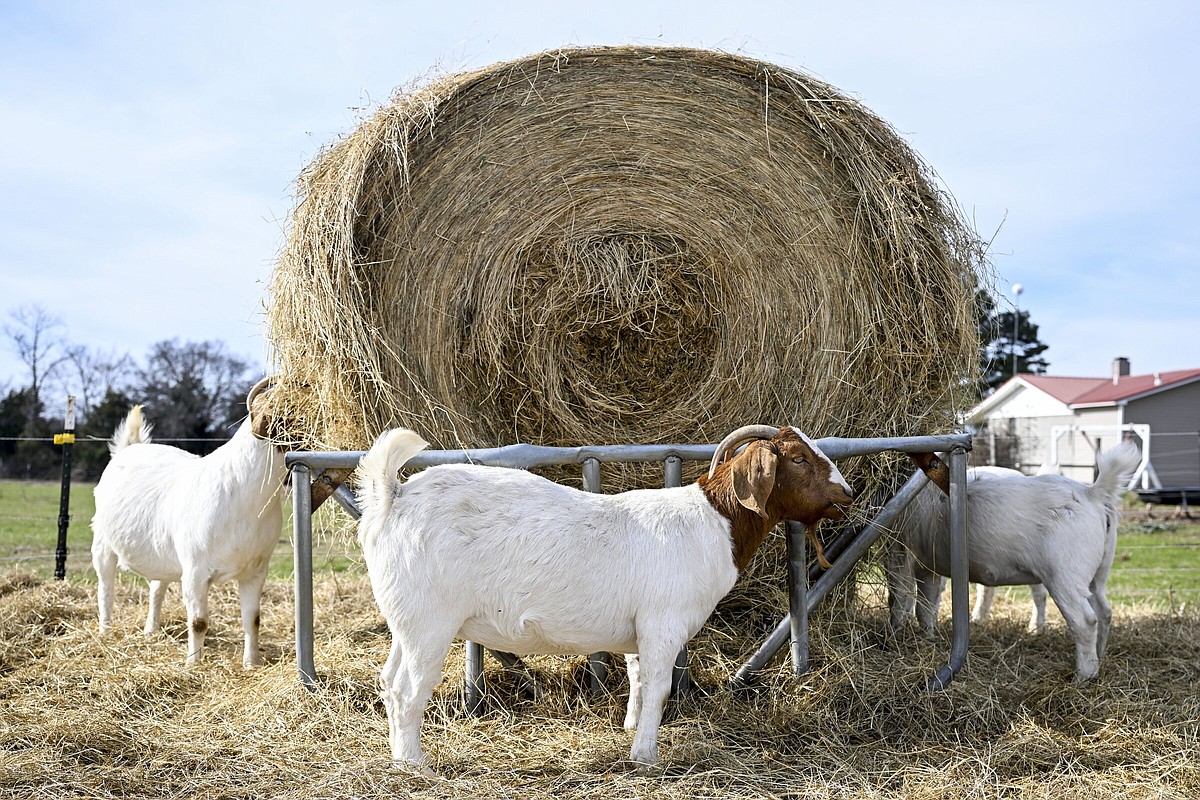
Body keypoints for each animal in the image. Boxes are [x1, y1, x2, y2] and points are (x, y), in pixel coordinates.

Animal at [90, 377, 286, 667]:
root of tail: (130, 447)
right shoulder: (195, 571)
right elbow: (198, 622)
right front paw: (193, 663)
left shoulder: (255, 570)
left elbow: (253, 620)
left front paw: (252, 663)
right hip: (103, 544)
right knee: (106, 588)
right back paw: (106, 631)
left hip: (161, 554)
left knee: (157, 587)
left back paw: (151, 630)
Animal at [354, 424, 855, 771]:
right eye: (799, 459)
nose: (847, 493)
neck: (712, 523)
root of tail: (394, 497)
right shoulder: (662, 623)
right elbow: (659, 686)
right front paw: (645, 756)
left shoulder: (638, 632)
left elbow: (637, 679)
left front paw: (631, 728)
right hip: (429, 623)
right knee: (409, 688)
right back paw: (415, 763)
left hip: (405, 621)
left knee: (389, 682)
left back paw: (398, 755)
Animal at [885, 441, 1140, 682]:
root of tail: (1093, 493)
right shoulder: (929, 563)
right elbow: (926, 605)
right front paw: (928, 638)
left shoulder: (901, 551)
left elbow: (902, 598)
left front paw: (896, 635)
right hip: (1099, 572)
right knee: (1104, 611)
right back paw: (1100, 656)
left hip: (1065, 574)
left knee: (1085, 621)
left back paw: (1083, 676)